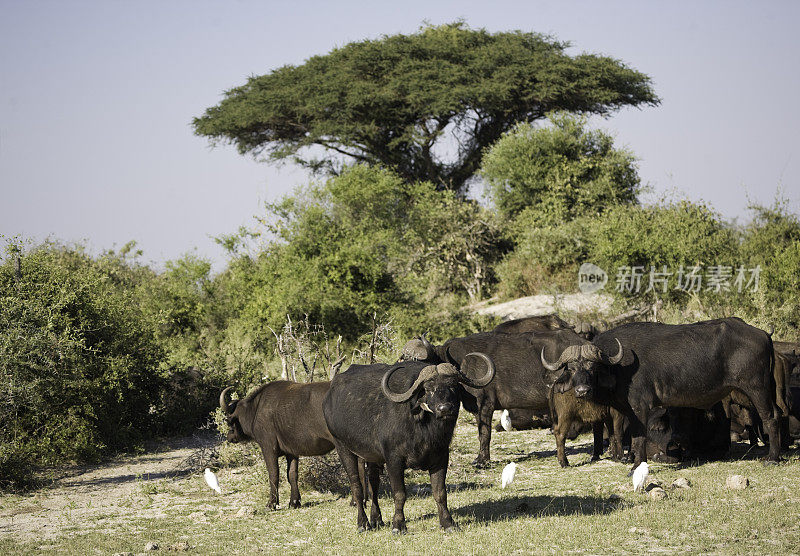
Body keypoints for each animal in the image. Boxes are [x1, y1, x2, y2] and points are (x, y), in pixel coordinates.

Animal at [324, 354, 494, 532]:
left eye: (453, 386)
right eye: (428, 389)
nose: (445, 408)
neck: (424, 430)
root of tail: (329, 396)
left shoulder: (441, 458)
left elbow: (440, 493)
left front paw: (448, 523)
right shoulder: (393, 461)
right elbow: (399, 494)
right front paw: (398, 525)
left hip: (372, 457)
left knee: (373, 486)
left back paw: (377, 519)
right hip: (343, 448)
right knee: (357, 487)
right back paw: (363, 523)